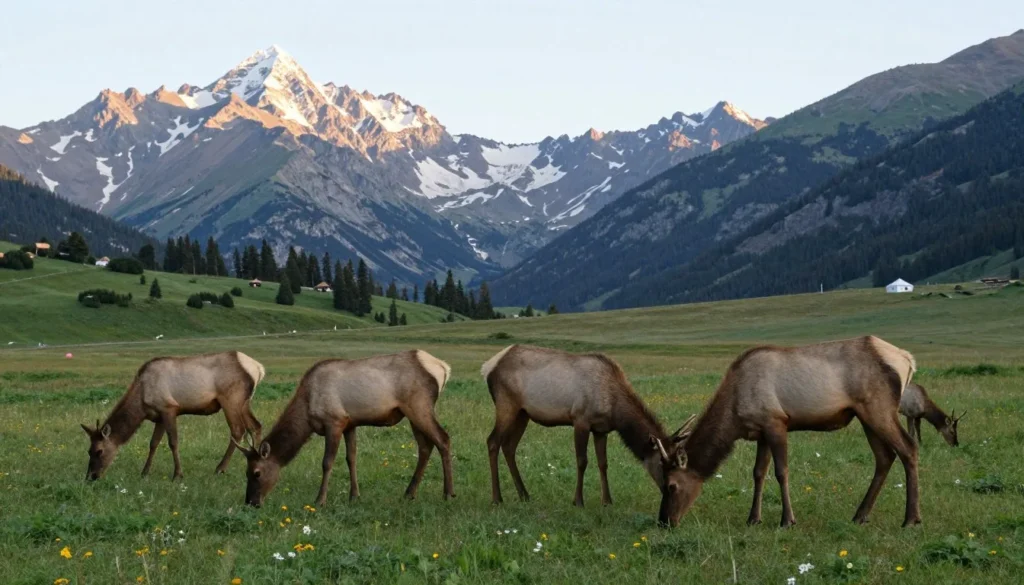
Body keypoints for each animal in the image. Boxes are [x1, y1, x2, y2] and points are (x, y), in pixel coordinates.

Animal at [80, 351, 265, 481]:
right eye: (88, 451)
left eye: (99, 451)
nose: (90, 476)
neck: (141, 401)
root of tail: (258, 368)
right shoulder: (159, 416)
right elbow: (153, 443)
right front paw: (144, 472)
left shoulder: (169, 408)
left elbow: (173, 442)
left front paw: (177, 474)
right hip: (244, 403)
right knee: (255, 426)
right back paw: (252, 463)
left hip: (231, 399)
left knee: (238, 430)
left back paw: (220, 468)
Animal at [235, 350, 454, 508]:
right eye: (245, 472)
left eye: (256, 473)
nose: (250, 502)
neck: (307, 409)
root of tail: (443, 368)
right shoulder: (350, 424)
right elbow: (351, 458)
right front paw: (354, 496)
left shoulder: (334, 421)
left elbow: (327, 462)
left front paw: (320, 500)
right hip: (411, 413)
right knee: (425, 447)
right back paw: (409, 493)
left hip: (419, 406)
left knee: (443, 438)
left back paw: (448, 493)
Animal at [481, 344, 697, 518]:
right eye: (662, 463)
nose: (670, 489)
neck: (614, 409)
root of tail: (488, 367)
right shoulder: (580, 420)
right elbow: (582, 461)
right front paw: (578, 501)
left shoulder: (601, 430)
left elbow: (603, 463)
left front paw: (607, 501)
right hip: (506, 404)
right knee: (493, 441)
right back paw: (497, 498)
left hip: (522, 413)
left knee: (509, 446)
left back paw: (524, 494)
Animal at [653, 335, 921, 528]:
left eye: (671, 486)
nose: (664, 521)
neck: (735, 413)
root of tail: (907, 359)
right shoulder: (761, 432)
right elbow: (758, 473)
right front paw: (753, 518)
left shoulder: (776, 422)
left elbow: (781, 472)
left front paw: (787, 520)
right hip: (865, 415)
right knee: (885, 457)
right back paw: (860, 515)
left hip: (879, 408)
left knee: (908, 447)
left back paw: (911, 518)